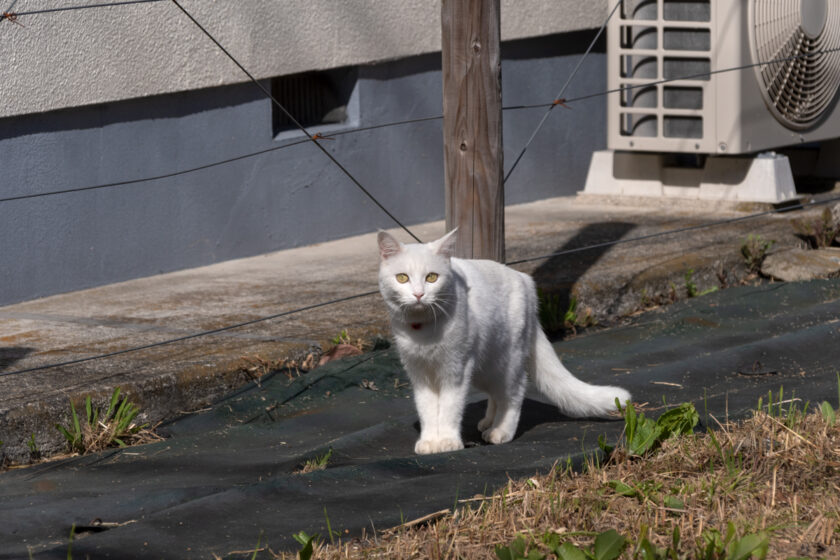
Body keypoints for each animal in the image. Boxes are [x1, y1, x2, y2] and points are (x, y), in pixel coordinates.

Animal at [378, 229, 632, 456]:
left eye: (432, 277)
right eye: (402, 278)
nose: (419, 294)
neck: (422, 330)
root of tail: (525, 280)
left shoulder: (455, 370)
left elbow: (449, 407)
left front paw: (448, 441)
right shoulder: (420, 374)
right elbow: (428, 410)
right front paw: (430, 441)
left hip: (506, 361)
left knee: (513, 393)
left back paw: (500, 431)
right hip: (484, 367)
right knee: (496, 394)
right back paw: (489, 422)